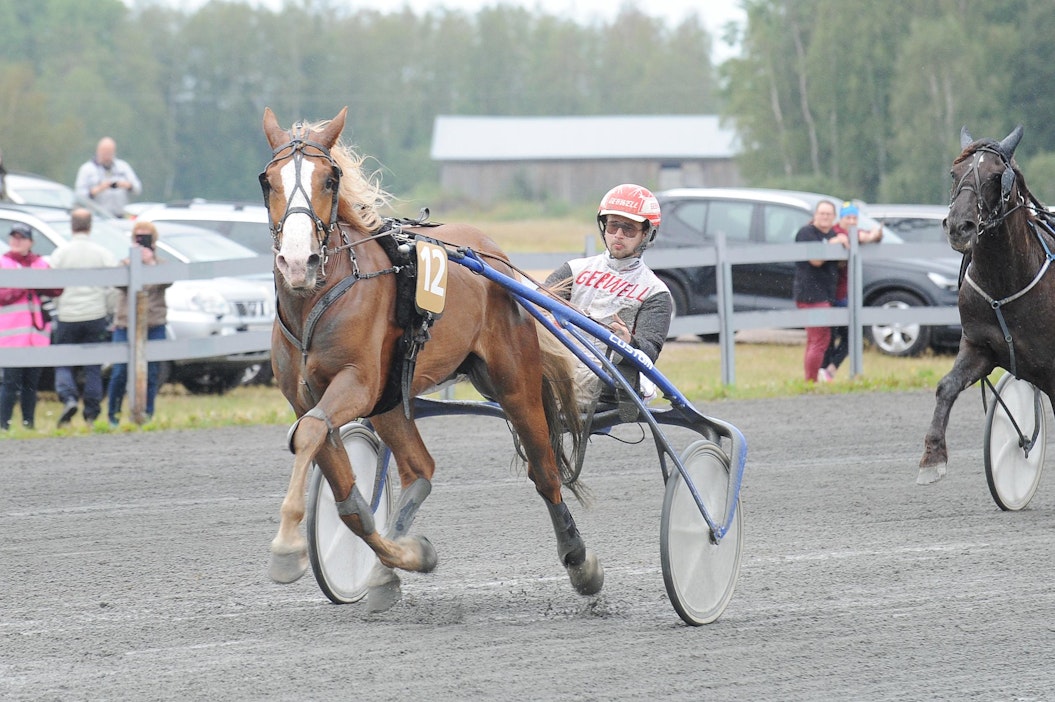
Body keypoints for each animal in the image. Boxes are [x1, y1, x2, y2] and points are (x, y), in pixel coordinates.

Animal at [259, 107, 603, 610]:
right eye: (267, 180)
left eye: (330, 179)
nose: (297, 262)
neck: (315, 301)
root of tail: (492, 254)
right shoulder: (307, 397)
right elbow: (349, 501)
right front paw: (406, 557)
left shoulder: (356, 382)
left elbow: (308, 436)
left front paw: (286, 548)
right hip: (390, 402)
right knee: (420, 469)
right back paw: (389, 567)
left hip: (513, 383)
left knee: (544, 471)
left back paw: (580, 561)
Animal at [919, 124, 1055, 484]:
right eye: (955, 173)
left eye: (997, 177)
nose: (959, 226)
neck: (1007, 282)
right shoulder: (979, 346)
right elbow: (947, 387)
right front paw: (932, 457)